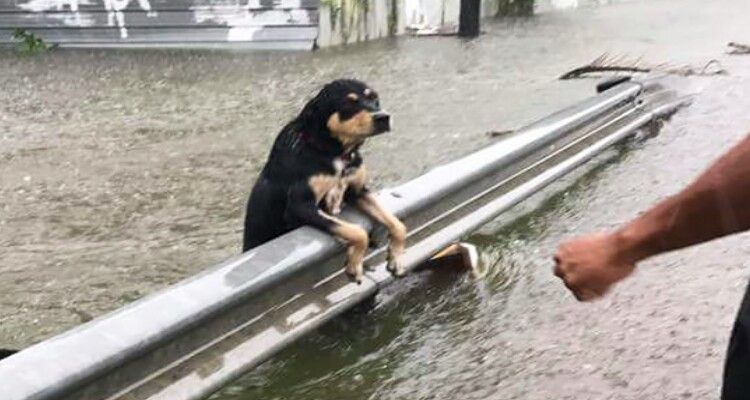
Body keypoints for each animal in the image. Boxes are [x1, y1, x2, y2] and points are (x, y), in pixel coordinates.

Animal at [244, 79, 408, 282]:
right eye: (348, 104)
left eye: (374, 98)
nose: (383, 117)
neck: (333, 152)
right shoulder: (300, 206)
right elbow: (357, 232)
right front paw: (354, 265)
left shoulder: (358, 191)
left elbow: (397, 224)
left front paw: (397, 259)